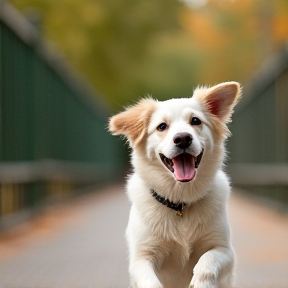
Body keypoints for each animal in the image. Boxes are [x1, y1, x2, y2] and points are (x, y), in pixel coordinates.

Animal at [109, 81, 242, 288]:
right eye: (161, 126)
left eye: (195, 121)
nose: (183, 138)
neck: (181, 203)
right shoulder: (141, 257)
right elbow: (150, 280)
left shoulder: (225, 250)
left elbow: (207, 261)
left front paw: (200, 281)